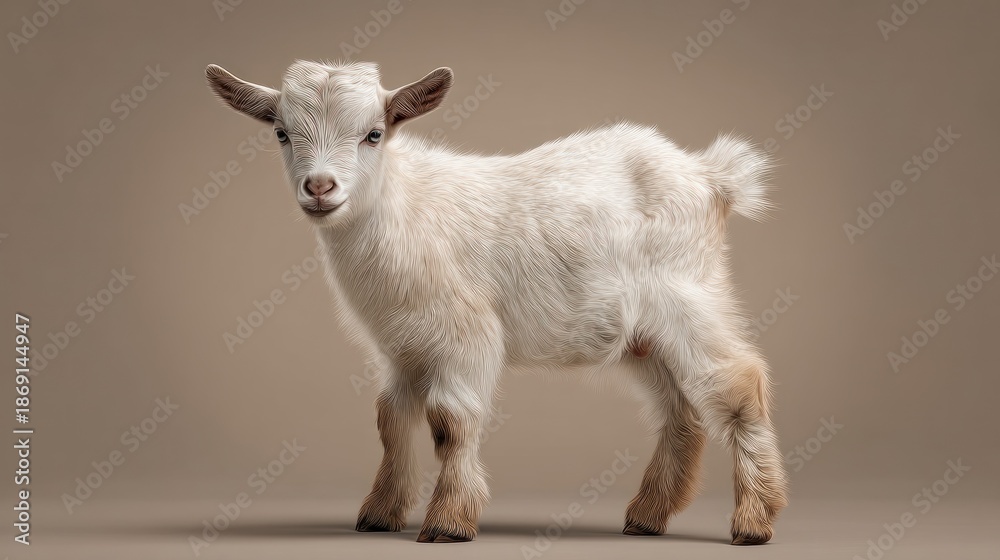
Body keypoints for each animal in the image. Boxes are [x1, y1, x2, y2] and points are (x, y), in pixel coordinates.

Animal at [206, 60, 788, 545]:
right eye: (281, 132)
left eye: (374, 133)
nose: (320, 186)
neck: (402, 206)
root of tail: (710, 176)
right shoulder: (401, 348)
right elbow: (390, 421)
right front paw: (379, 514)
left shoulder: (465, 335)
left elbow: (449, 422)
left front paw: (448, 522)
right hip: (645, 337)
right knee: (679, 408)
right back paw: (648, 516)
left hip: (689, 297)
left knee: (738, 382)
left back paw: (754, 520)